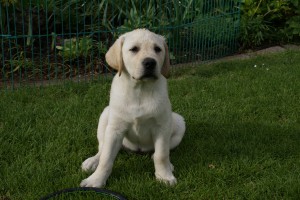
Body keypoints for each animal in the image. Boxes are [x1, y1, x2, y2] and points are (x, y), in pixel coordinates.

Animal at [81, 28, 186, 188]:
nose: (150, 62)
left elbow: (161, 155)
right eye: (134, 49)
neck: (140, 90)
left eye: (157, 49)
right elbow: (106, 158)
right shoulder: (115, 129)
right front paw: (96, 180)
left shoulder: (162, 127)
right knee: (102, 148)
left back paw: (168, 165)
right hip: (105, 115)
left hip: (179, 122)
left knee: (160, 152)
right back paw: (93, 161)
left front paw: (165, 176)